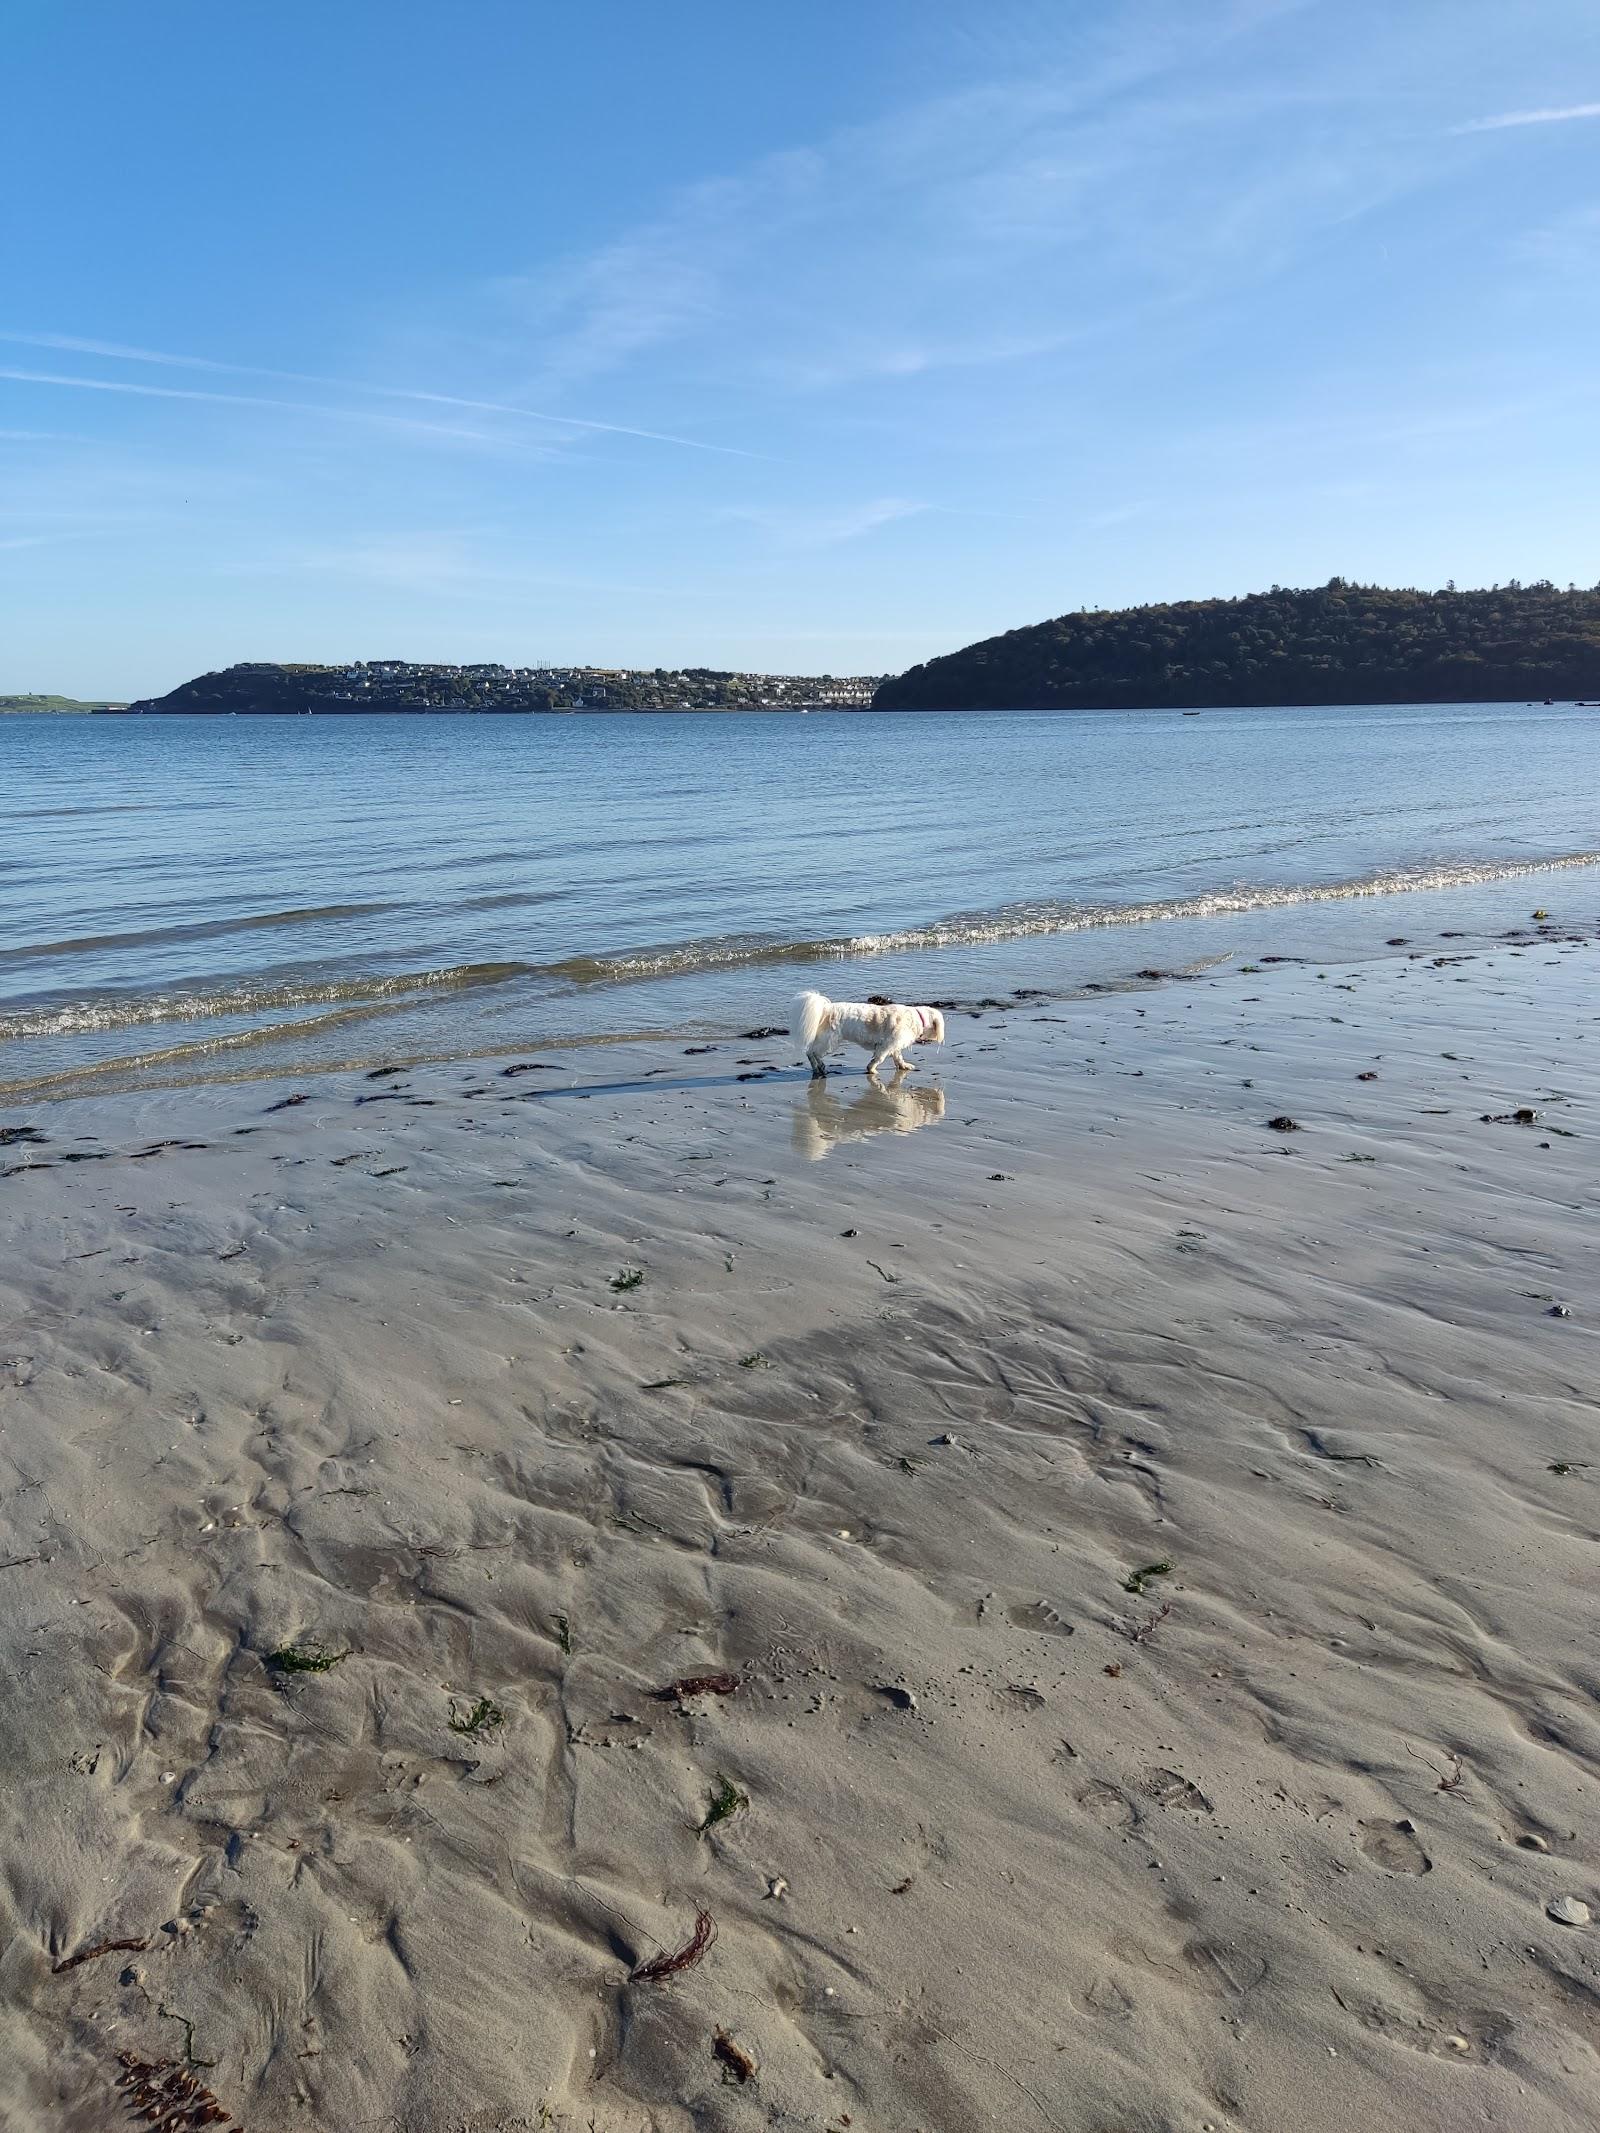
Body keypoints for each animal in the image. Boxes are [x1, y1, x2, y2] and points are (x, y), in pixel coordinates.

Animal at [797, 985, 947, 1075]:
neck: (917, 1018)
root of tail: (826, 1009)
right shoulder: (886, 1045)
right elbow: (878, 1059)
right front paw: (871, 1069)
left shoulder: (894, 1045)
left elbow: (898, 1057)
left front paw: (904, 1066)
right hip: (829, 1042)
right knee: (812, 1053)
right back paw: (819, 1066)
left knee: (810, 1052)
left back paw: (817, 1068)